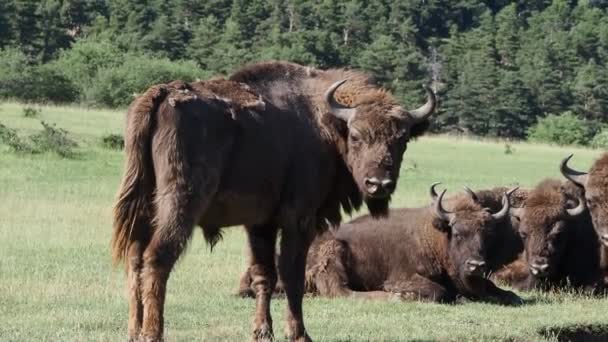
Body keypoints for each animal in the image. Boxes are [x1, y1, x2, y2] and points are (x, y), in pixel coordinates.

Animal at [111, 62, 434, 342]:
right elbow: (291, 274)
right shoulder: (299, 220)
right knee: (158, 257)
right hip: (180, 204)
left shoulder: (260, 225)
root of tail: (161, 94)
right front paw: (300, 334)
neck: (324, 123)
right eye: (356, 136)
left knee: (135, 257)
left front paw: (262, 332)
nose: (379, 184)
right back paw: (153, 333)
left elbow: (263, 274)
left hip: (143, 205)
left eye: (402, 139)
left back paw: (134, 331)